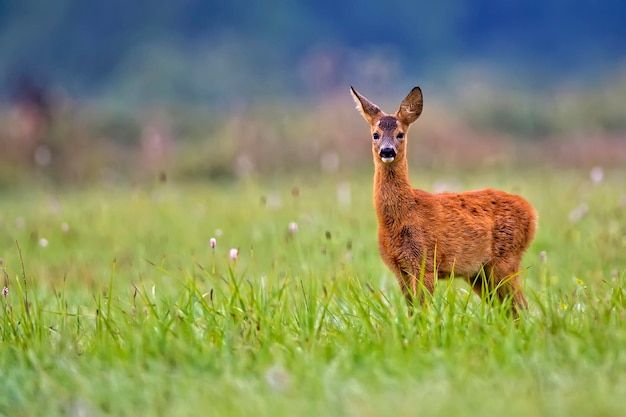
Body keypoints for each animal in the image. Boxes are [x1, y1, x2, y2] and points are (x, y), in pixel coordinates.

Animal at [348, 86, 532, 316]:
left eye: (400, 134)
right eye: (375, 134)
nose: (387, 151)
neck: (403, 216)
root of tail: (531, 211)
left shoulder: (425, 262)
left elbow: (422, 309)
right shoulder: (399, 268)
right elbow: (412, 311)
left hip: (506, 259)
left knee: (521, 306)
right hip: (477, 272)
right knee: (507, 307)